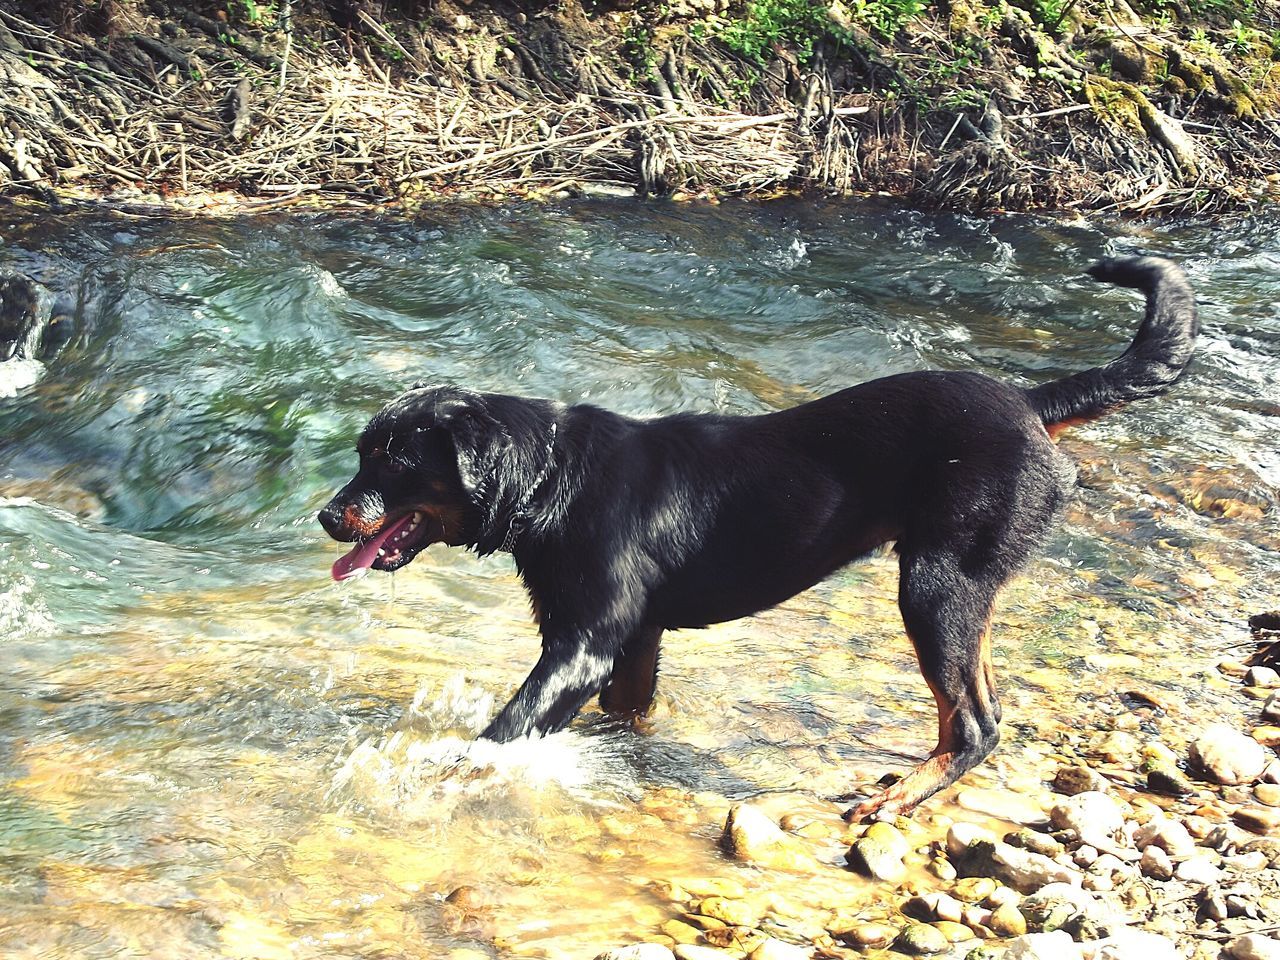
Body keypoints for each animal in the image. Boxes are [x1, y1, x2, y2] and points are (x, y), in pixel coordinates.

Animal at [320, 259, 1198, 824]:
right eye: (362, 454)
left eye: (392, 461)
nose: (327, 517)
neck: (550, 478)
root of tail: (1030, 403)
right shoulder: (635, 642)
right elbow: (620, 715)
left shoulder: (583, 645)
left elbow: (504, 732)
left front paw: (441, 771)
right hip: (960, 586)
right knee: (980, 710)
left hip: (938, 583)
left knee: (976, 723)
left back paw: (896, 797)